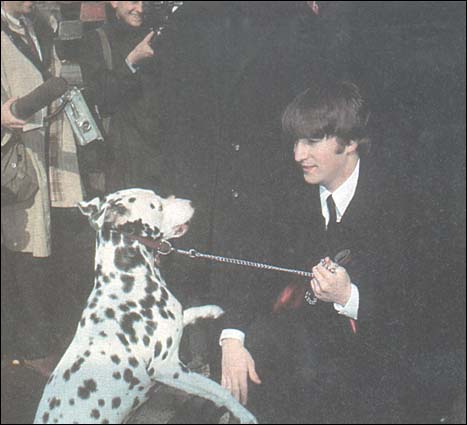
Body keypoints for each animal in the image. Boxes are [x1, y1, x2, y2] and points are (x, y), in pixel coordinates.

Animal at [34, 190, 258, 424]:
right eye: (158, 205)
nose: (192, 202)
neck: (128, 278)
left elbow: (186, 312)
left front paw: (212, 310)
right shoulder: (167, 368)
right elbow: (218, 390)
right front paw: (244, 413)